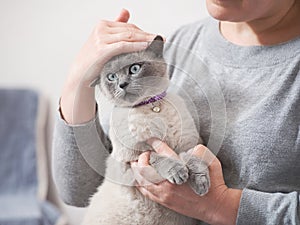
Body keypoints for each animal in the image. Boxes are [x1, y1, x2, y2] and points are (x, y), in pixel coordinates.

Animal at [81, 35, 210, 225]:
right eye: (111, 77)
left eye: (134, 69)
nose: (122, 84)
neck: (151, 107)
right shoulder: (134, 158)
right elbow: (157, 157)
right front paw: (179, 173)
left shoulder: (191, 144)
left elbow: (193, 160)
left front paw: (201, 185)